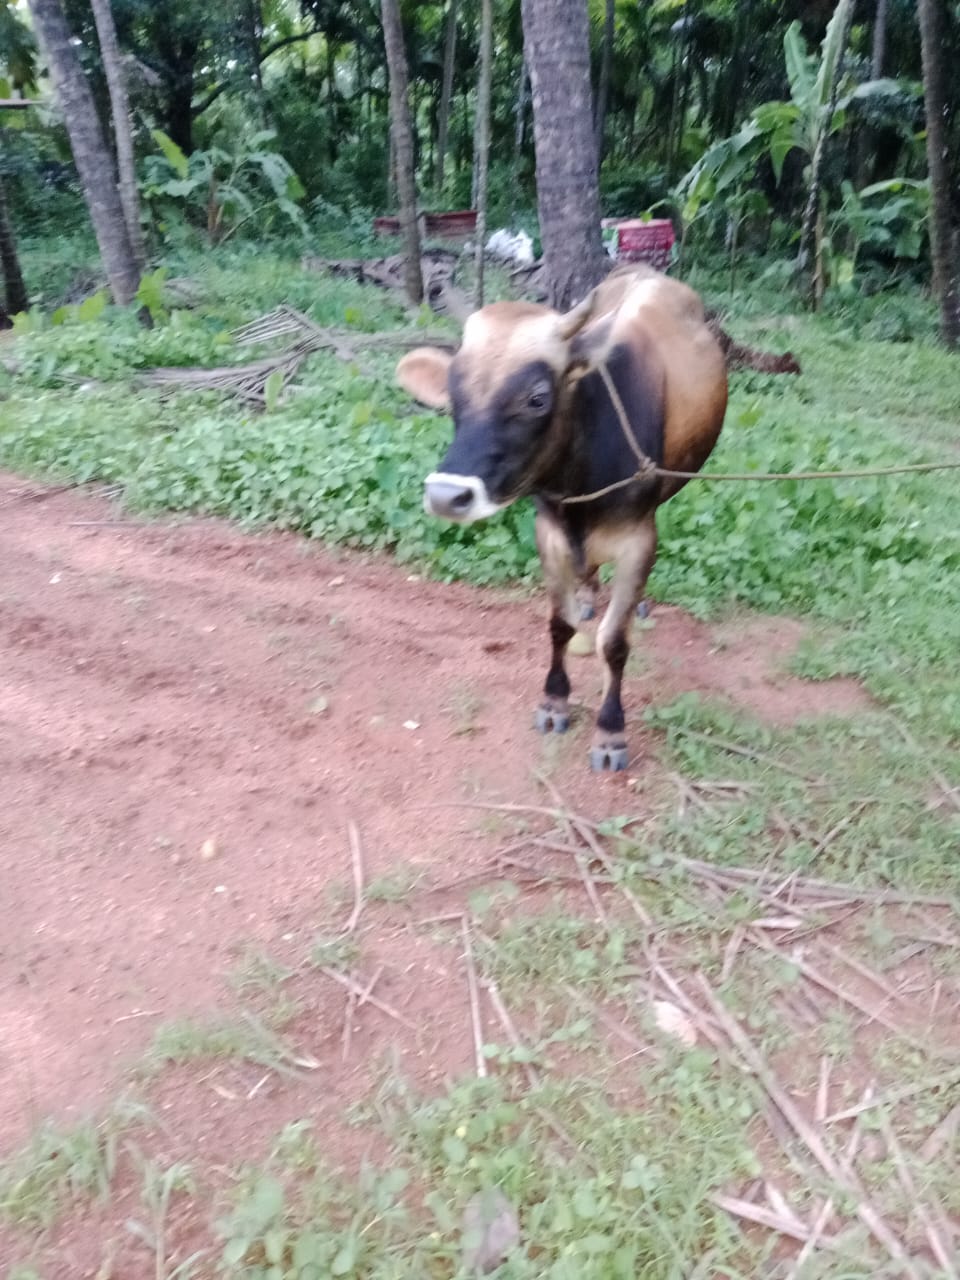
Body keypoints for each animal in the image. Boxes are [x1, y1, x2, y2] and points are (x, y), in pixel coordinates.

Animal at [395, 264, 728, 772]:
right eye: (452, 392)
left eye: (536, 398)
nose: (447, 495)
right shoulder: (548, 531)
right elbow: (560, 624)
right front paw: (554, 700)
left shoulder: (638, 538)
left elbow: (614, 641)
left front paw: (610, 732)